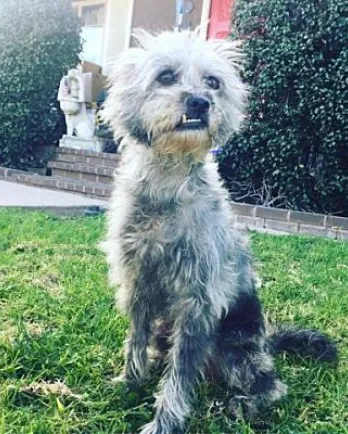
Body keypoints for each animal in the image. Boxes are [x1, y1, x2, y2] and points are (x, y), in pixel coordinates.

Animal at [101, 29, 338, 434]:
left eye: (213, 82)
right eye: (166, 76)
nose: (200, 102)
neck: (169, 184)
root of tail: (267, 341)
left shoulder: (197, 303)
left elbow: (180, 373)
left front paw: (164, 420)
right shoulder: (138, 287)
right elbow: (136, 340)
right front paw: (130, 382)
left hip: (235, 347)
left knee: (271, 385)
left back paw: (244, 404)